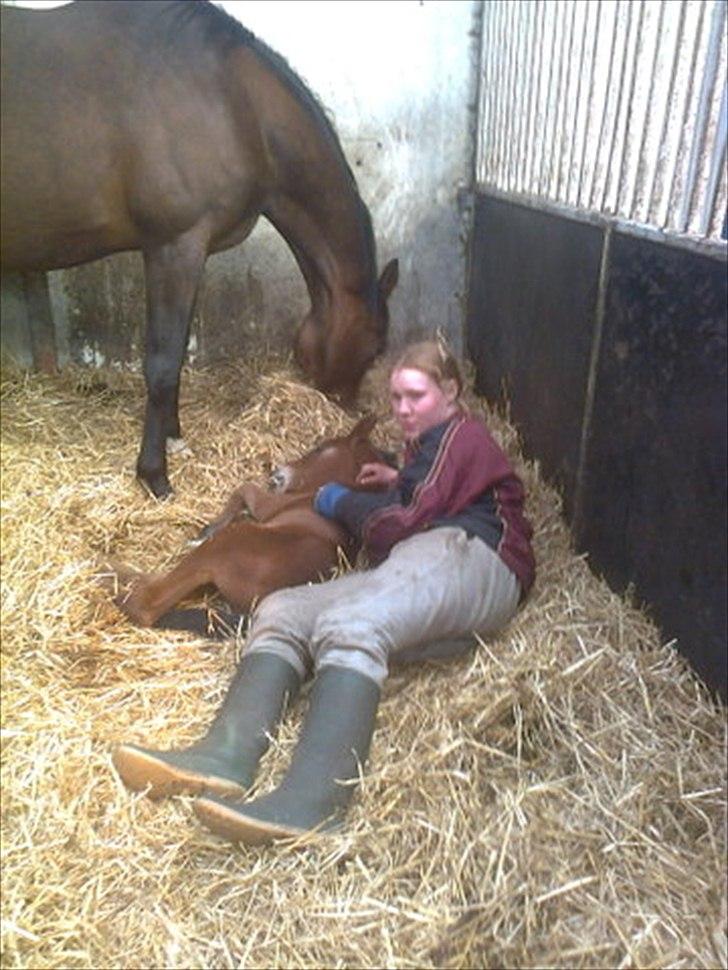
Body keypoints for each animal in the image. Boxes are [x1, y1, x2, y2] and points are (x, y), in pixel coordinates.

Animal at [1, 1, 398, 500]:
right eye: (376, 347)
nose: (347, 408)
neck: (233, 104)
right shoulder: (174, 248)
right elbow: (163, 361)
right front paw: (154, 474)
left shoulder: (191, 256)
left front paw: (173, 433)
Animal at [111, 412, 382, 632]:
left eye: (320, 448)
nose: (276, 474)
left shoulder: (267, 506)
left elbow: (244, 489)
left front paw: (206, 530)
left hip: (220, 548)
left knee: (146, 604)